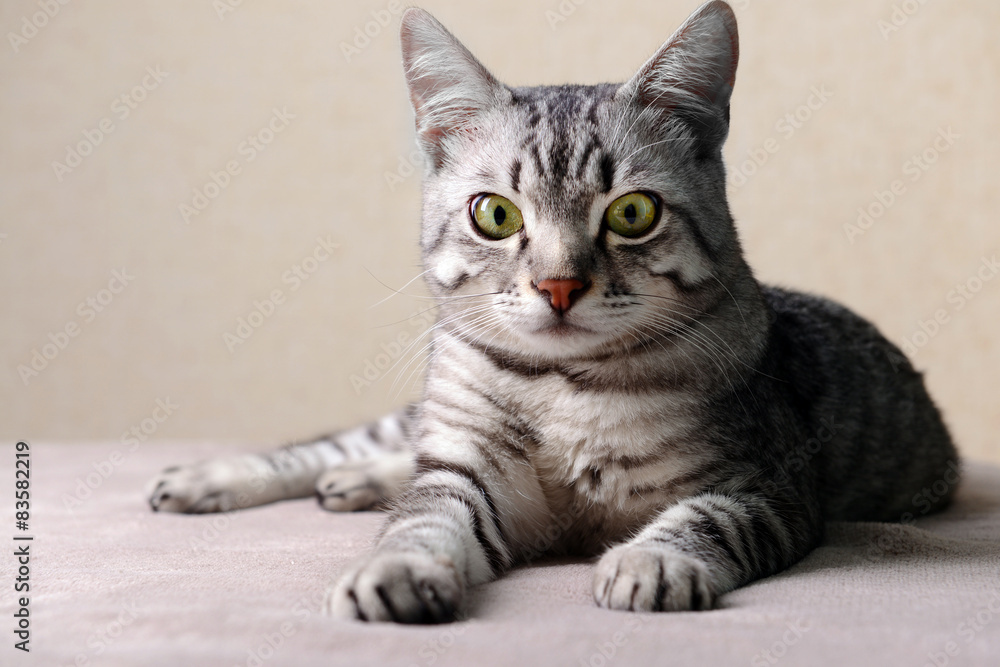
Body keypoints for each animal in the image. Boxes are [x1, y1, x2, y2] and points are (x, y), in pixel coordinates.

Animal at [145, 1, 956, 628]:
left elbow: (702, 520)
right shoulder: (470, 472)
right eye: (495, 215)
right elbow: (422, 517)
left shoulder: (764, 484)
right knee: (343, 448)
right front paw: (396, 570)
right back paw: (213, 478)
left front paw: (651, 560)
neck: (565, 386)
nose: (559, 285)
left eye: (632, 212)